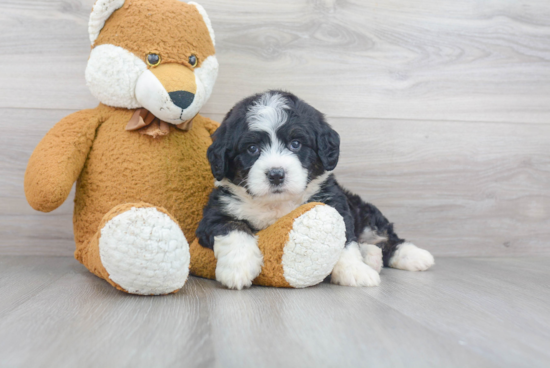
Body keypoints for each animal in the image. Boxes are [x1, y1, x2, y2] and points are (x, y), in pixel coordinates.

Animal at [198, 90, 436, 288]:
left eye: (295, 144)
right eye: (252, 149)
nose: (276, 174)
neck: (277, 204)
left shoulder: (333, 204)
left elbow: (344, 241)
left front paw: (354, 271)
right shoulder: (216, 213)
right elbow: (233, 228)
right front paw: (238, 268)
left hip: (363, 211)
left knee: (384, 236)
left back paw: (413, 256)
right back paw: (372, 256)